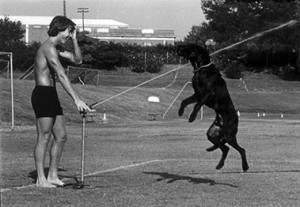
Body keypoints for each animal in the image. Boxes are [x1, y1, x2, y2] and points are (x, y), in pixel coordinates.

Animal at [178, 43, 248, 171]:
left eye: (188, 46)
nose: (178, 47)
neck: (201, 69)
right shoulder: (197, 94)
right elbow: (184, 101)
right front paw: (181, 112)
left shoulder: (208, 94)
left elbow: (197, 105)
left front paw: (192, 117)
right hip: (212, 134)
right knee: (225, 148)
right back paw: (219, 164)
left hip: (229, 135)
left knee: (241, 149)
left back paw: (245, 166)